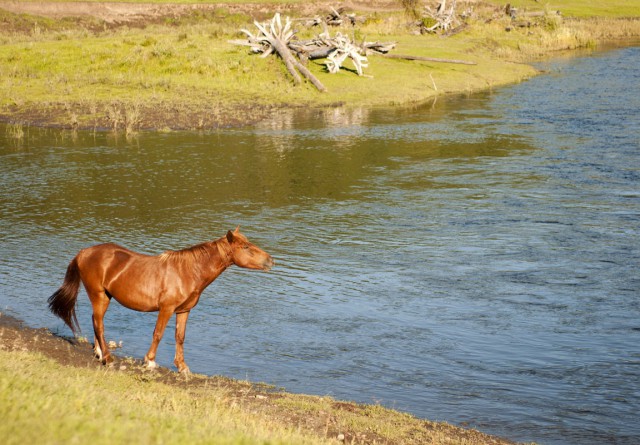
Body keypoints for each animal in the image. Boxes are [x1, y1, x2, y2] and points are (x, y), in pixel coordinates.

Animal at [47, 227, 272, 372]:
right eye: (245, 247)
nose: (270, 260)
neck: (187, 271)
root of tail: (83, 253)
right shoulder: (166, 308)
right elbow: (158, 334)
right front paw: (150, 361)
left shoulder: (184, 310)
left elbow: (180, 337)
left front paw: (182, 367)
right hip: (99, 295)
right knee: (98, 324)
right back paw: (108, 358)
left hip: (104, 297)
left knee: (96, 322)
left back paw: (101, 354)